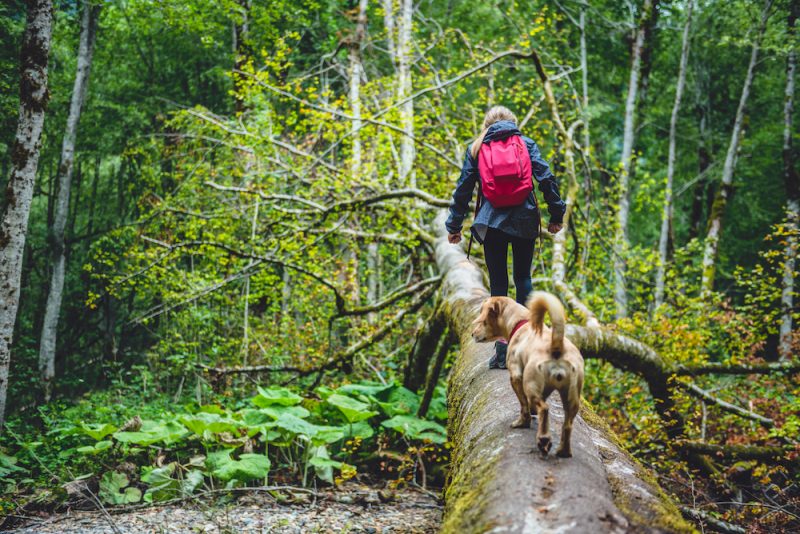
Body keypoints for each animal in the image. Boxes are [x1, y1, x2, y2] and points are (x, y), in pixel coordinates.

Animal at [472, 294, 584, 460]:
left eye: (483, 321)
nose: (472, 334)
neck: (520, 321)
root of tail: (556, 345)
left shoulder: (516, 376)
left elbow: (523, 405)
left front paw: (523, 422)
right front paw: (532, 412)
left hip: (530, 384)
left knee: (544, 408)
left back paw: (542, 439)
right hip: (572, 397)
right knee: (567, 424)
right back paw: (563, 451)